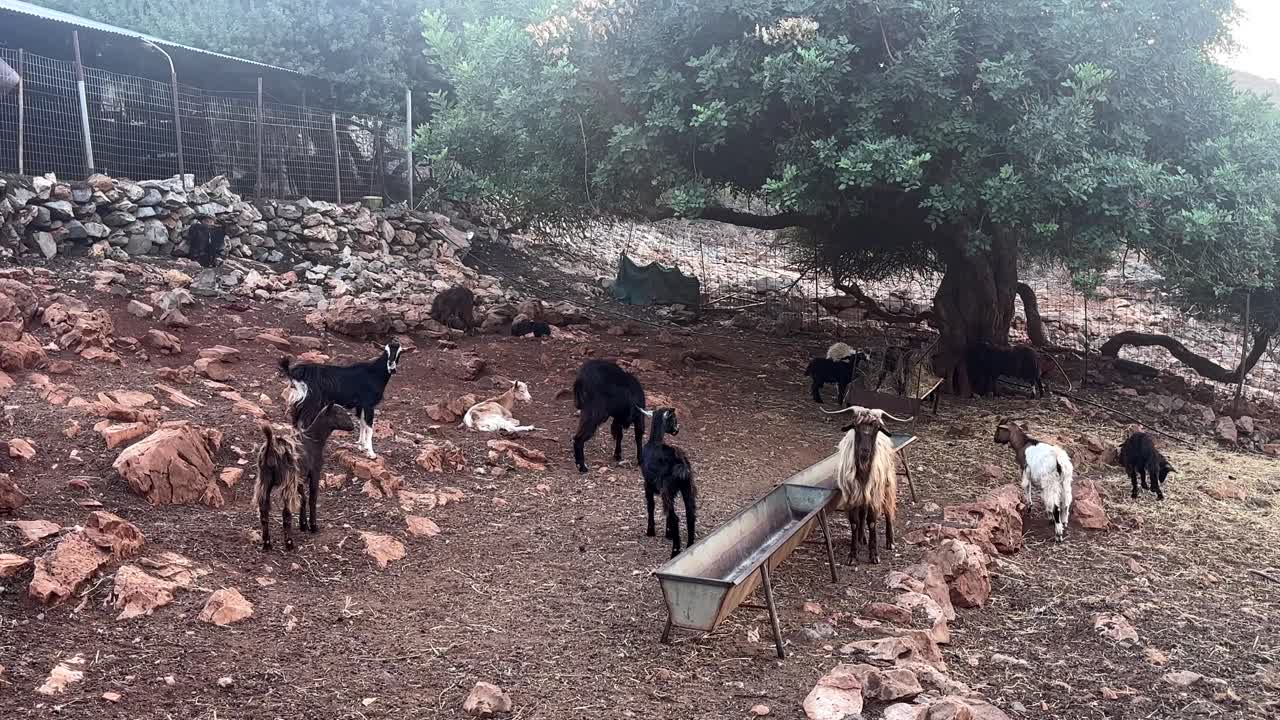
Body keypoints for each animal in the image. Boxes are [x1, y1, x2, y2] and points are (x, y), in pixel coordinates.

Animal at [253, 404, 354, 551]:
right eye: (339, 413)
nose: (352, 426)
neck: (314, 439)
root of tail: (270, 448)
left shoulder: (299, 477)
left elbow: (303, 498)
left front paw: (303, 525)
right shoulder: (315, 472)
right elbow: (312, 498)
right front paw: (313, 526)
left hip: (264, 479)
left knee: (264, 512)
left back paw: (267, 544)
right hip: (287, 480)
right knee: (286, 513)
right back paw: (289, 543)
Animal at [638, 407, 696, 557]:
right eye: (673, 419)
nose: (677, 429)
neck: (654, 442)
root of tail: (680, 463)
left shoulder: (647, 483)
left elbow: (651, 505)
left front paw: (650, 531)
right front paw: (668, 533)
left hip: (667, 488)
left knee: (674, 517)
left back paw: (675, 552)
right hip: (687, 486)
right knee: (690, 513)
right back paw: (690, 545)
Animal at [831, 406, 911, 564]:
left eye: (877, 428)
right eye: (855, 426)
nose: (865, 451)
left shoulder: (875, 495)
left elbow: (872, 522)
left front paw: (874, 555)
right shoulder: (852, 495)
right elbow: (855, 522)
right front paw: (852, 555)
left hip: (887, 484)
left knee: (888, 510)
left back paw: (890, 541)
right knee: (862, 514)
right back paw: (862, 537)